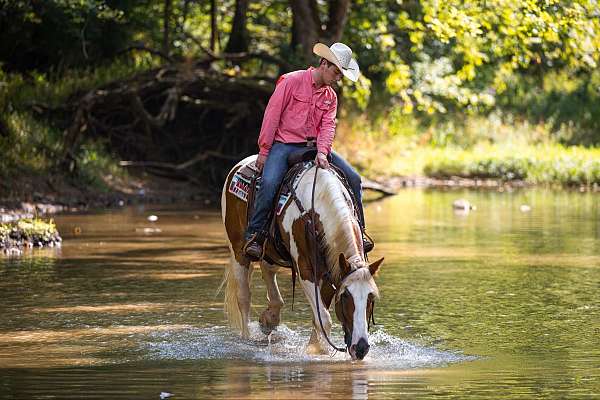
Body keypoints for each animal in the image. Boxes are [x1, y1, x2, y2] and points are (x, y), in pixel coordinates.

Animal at [221, 155, 384, 360]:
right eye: (345, 296)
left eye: (371, 297)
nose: (361, 348)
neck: (314, 210)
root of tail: (239, 165)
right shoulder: (306, 269)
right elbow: (323, 318)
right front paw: (320, 351)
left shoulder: (330, 271)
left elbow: (319, 316)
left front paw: (315, 346)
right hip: (238, 251)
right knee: (243, 296)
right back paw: (247, 337)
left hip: (272, 252)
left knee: (268, 271)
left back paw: (269, 319)